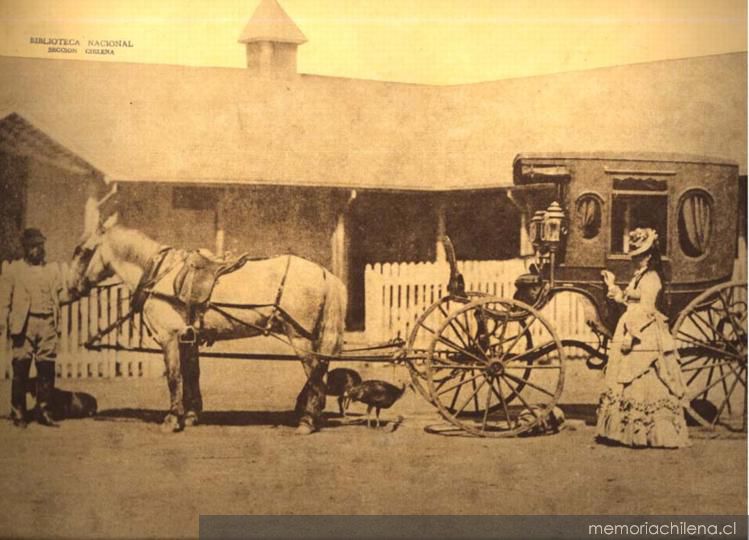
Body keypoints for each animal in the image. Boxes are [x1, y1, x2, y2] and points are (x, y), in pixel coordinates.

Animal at [68, 217, 346, 432]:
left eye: (83, 251)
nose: (68, 290)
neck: (160, 275)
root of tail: (325, 273)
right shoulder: (187, 338)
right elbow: (192, 375)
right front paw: (191, 416)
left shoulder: (169, 338)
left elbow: (174, 377)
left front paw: (172, 419)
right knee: (319, 369)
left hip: (298, 335)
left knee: (315, 372)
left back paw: (307, 421)